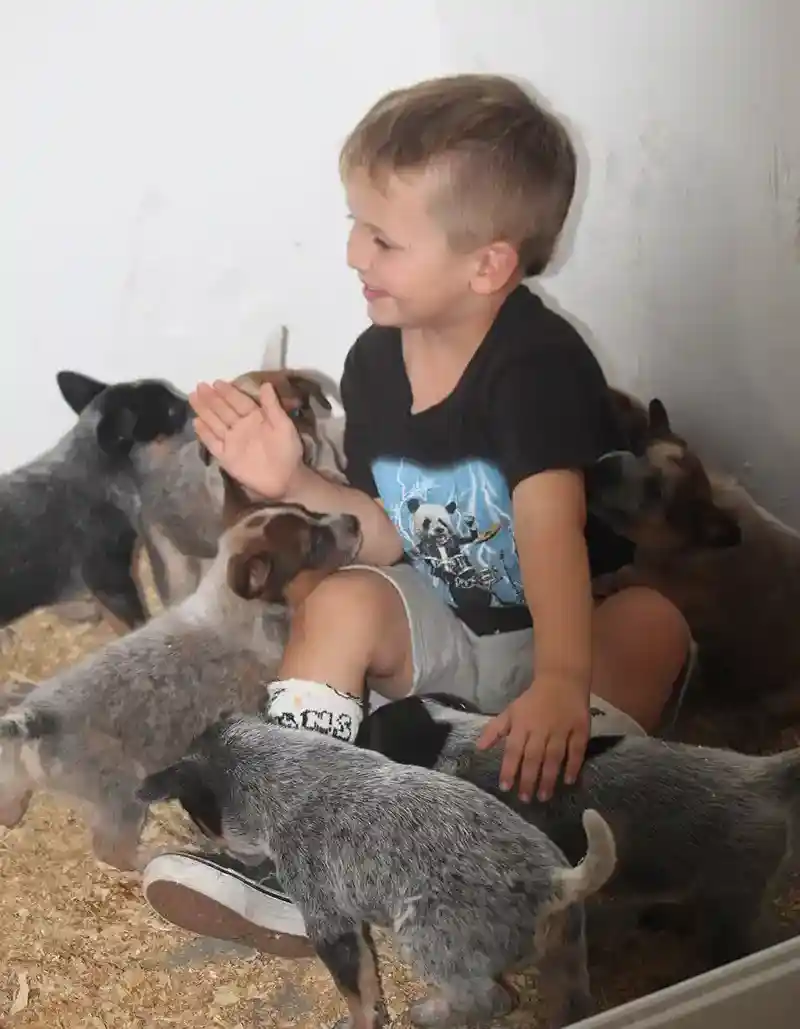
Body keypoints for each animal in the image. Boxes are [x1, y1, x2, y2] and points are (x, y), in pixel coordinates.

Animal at [0, 471, 358, 872]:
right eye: (313, 544)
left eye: (308, 510)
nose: (354, 520)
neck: (233, 608)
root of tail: (41, 719)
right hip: (122, 790)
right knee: (111, 848)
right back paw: (152, 855)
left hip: (17, 766)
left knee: (9, 794)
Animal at [140, 716, 613, 1029]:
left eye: (202, 822)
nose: (222, 851)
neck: (280, 776)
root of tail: (556, 882)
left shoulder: (327, 914)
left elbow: (355, 988)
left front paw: (361, 1020)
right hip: (569, 944)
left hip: (428, 939)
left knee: (488, 999)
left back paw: (429, 1013)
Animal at [584, 393, 798, 724]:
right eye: (637, 447)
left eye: (655, 492)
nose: (597, 469)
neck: (684, 546)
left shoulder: (635, 576)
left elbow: (612, 579)